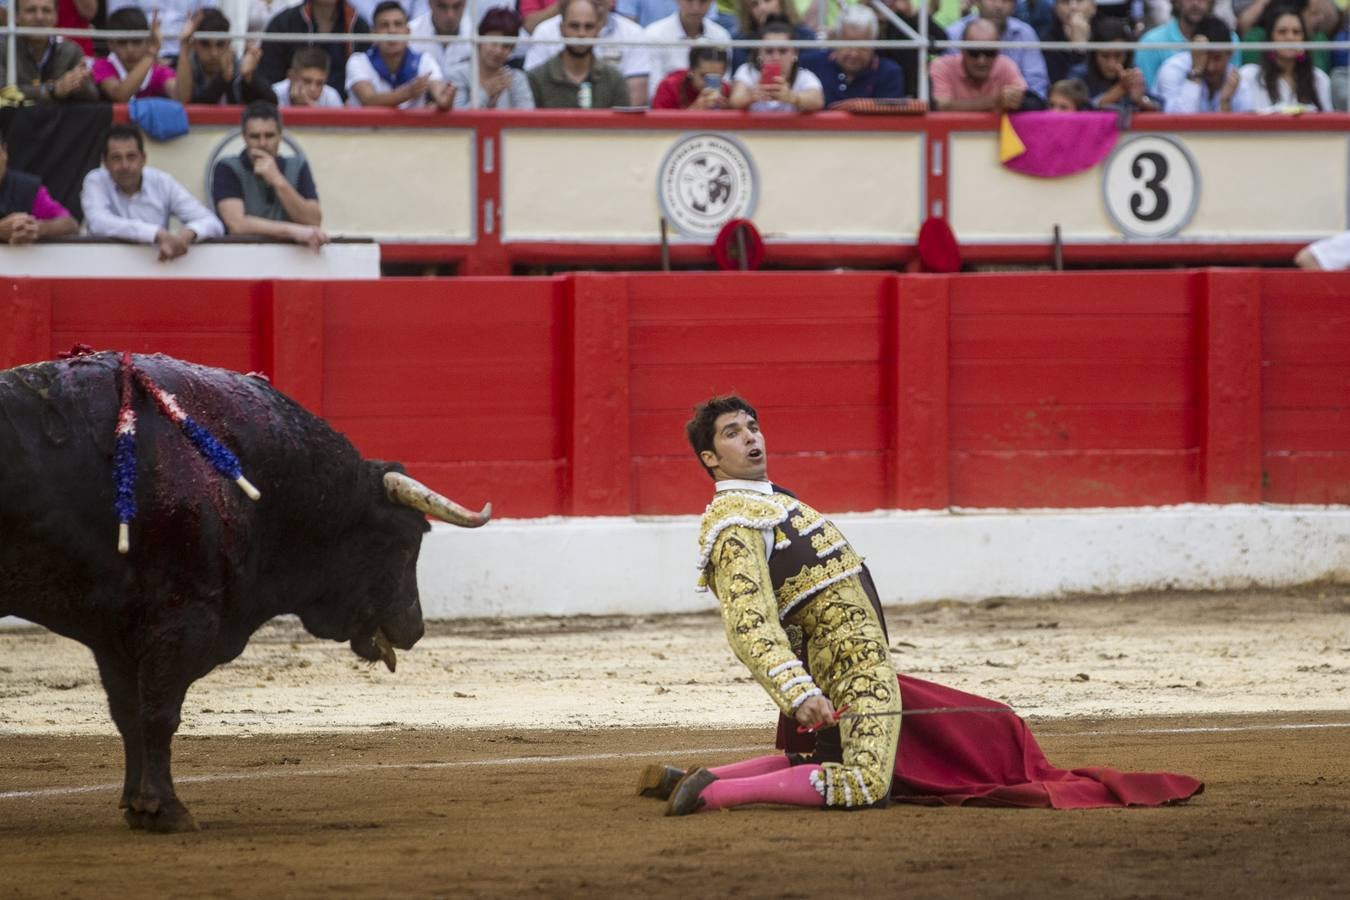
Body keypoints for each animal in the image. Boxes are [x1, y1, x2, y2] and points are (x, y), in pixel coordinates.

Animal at [0, 350, 486, 831]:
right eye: (407, 538)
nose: (415, 628)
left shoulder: (117, 632)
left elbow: (129, 714)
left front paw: (138, 807)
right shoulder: (182, 616)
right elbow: (159, 713)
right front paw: (166, 809)